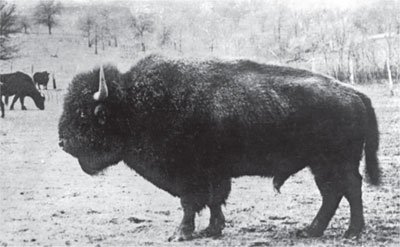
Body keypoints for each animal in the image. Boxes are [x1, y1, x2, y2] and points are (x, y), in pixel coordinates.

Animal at [57, 54, 380, 241]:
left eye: (84, 113)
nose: (62, 141)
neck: (135, 104)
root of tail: (356, 94)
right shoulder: (214, 174)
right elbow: (214, 201)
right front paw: (213, 229)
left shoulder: (190, 176)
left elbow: (191, 203)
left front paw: (180, 234)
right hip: (321, 165)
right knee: (333, 194)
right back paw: (310, 231)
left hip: (335, 163)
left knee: (349, 190)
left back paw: (350, 232)